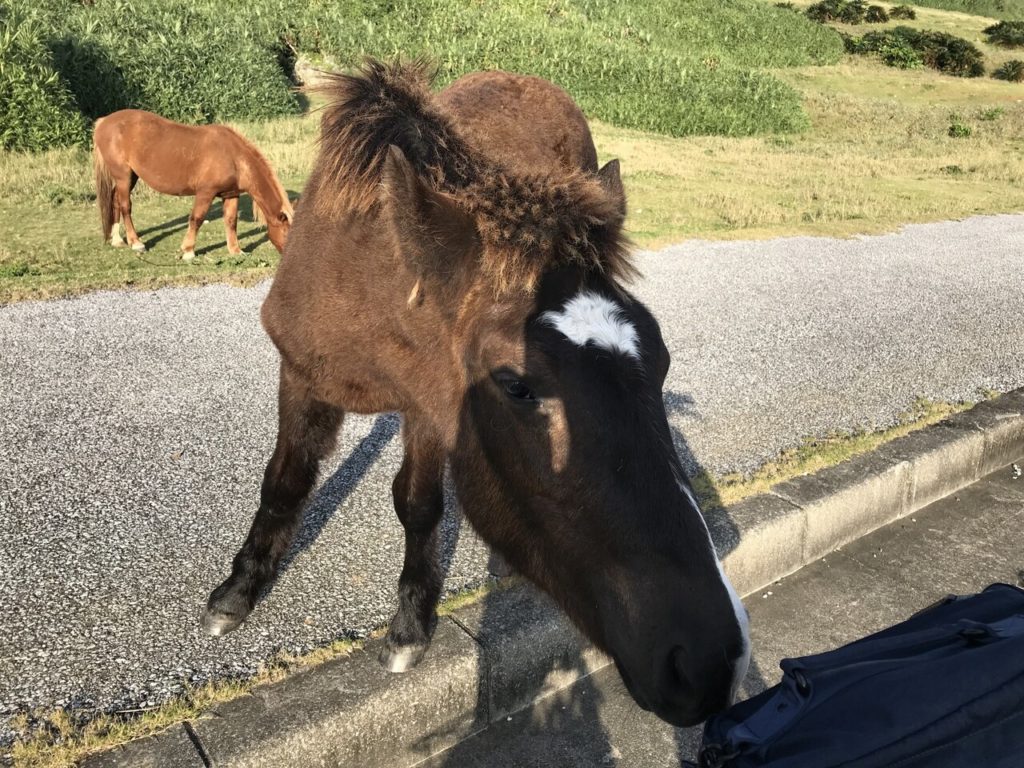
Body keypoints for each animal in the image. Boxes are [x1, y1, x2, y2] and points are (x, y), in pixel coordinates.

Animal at [92, 109, 294, 259]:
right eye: (287, 234)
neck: (234, 158)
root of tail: (103, 121)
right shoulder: (205, 193)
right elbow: (197, 218)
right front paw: (188, 251)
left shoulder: (231, 194)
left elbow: (231, 221)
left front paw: (236, 251)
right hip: (123, 176)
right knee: (125, 206)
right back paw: (136, 243)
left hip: (130, 177)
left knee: (115, 201)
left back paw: (117, 240)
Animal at [201, 60, 753, 729]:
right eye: (516, 383)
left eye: (663, 363)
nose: (708, 659)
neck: (360, 288)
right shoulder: (302, 377)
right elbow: (284, 484)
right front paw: (238, 592)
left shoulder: (426, 407)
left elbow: (417, 505)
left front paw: (409, 624)